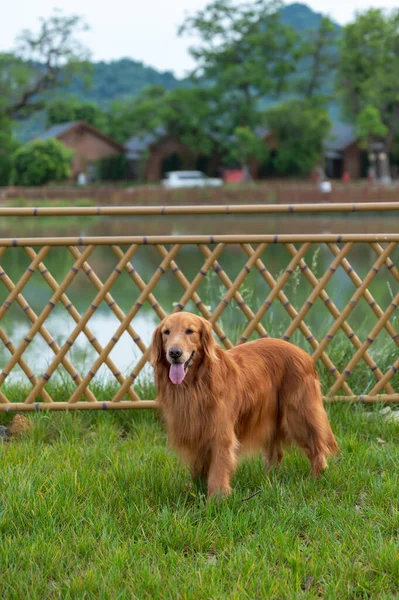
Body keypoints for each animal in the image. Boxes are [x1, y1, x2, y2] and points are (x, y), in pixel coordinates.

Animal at [152, 310, 340, 496]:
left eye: (189, 331)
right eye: (166, 332)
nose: (174, 353)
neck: (195, 384)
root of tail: (305, 355)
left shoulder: (220, 432)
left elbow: (218, 468)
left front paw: (217, 497)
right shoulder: (194, 430)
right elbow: (198, 465)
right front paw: (196, 489)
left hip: (298, 416)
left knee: (316, 449)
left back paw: (315, 480)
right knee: (276, 453)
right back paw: (268, 481)